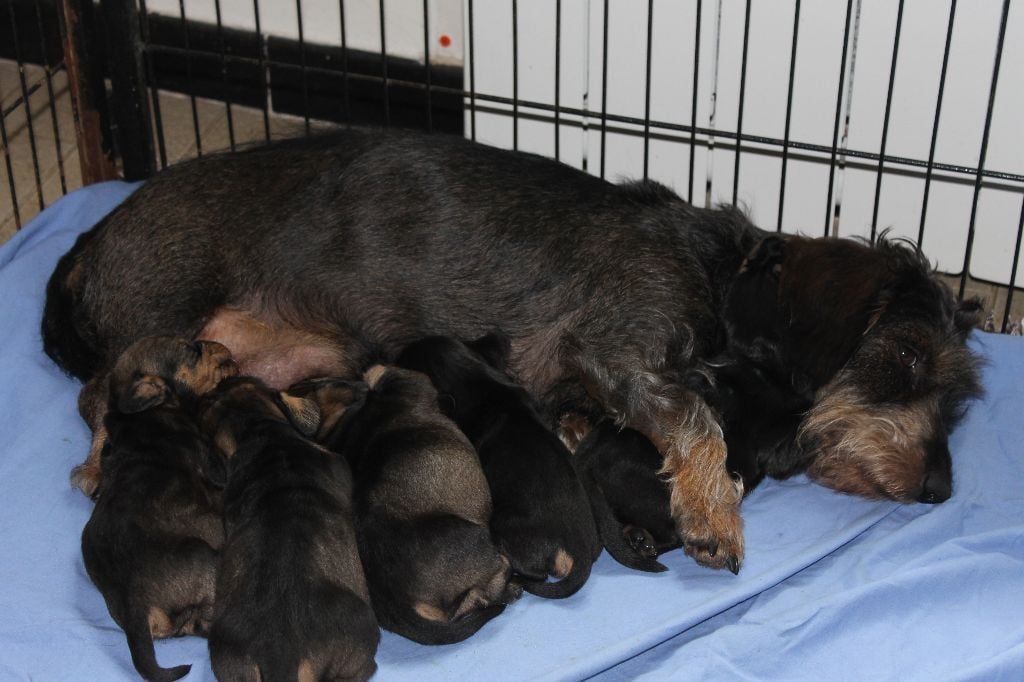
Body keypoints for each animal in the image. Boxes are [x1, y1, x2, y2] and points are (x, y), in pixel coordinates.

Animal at [81, 335, 230, 679]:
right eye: (192, 351)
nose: (222, 347)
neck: (143, 413)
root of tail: (133, 603)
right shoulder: (212, 462)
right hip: (205, 557)